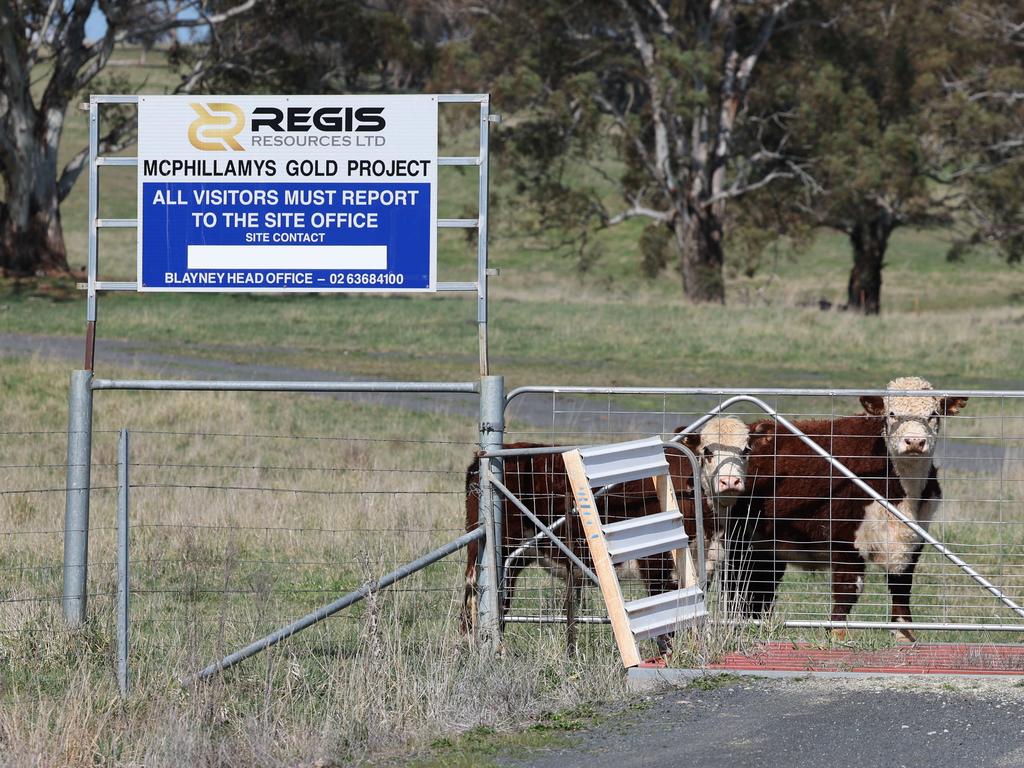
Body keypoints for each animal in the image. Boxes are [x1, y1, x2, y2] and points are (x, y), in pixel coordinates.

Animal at [460, 417, 757, 638]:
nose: (730, 482)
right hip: (493, 550)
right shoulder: (656, 565)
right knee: (475, 595)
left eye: (745, 451)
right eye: (707, 451)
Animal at [724, 376, 962, 638]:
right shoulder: (845, 540)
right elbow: (847, 591)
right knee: (736, 585)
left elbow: (901, 588)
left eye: (933, 414)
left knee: (760, 589)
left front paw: (905, 635)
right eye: (891, 414)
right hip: (738, 539)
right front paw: (837, 635)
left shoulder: (913, 538)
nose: (915, 442)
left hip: (766, 547)